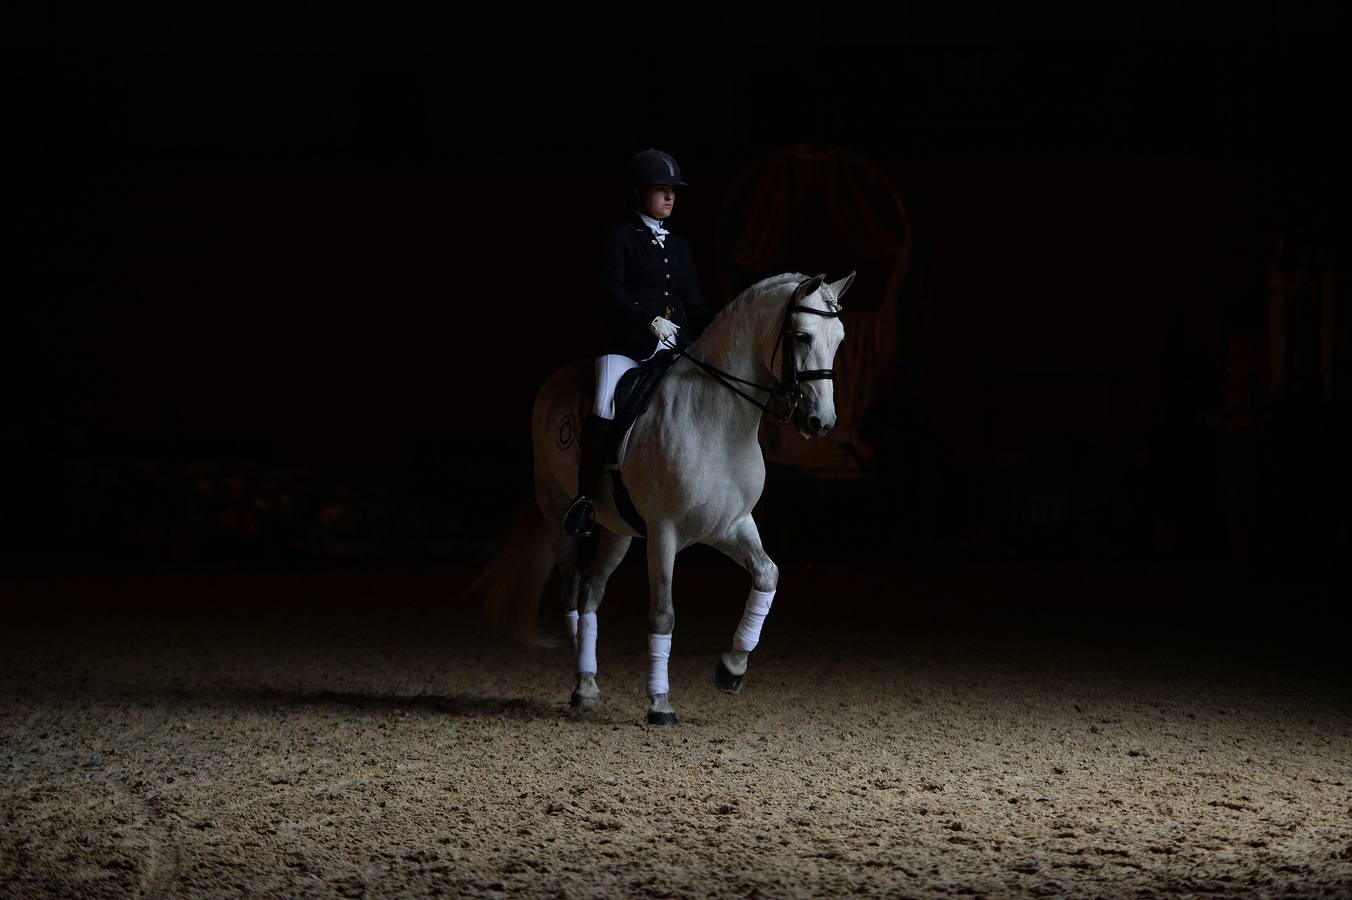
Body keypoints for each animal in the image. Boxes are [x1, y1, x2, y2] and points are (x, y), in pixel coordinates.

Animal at [481, 267, 849, 724]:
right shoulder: (664, 532)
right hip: (558, 519)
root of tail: (557, 381)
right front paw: (660, 703)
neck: (717, 417)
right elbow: (663, 615)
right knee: (570, 591)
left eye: (839, 339)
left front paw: (731, 669)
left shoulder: (730, 525)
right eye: (802, 336)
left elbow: (767, 575)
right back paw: (581, 681)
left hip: (618, 531)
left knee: (590, 592)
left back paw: (588, 682)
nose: (821, 422)